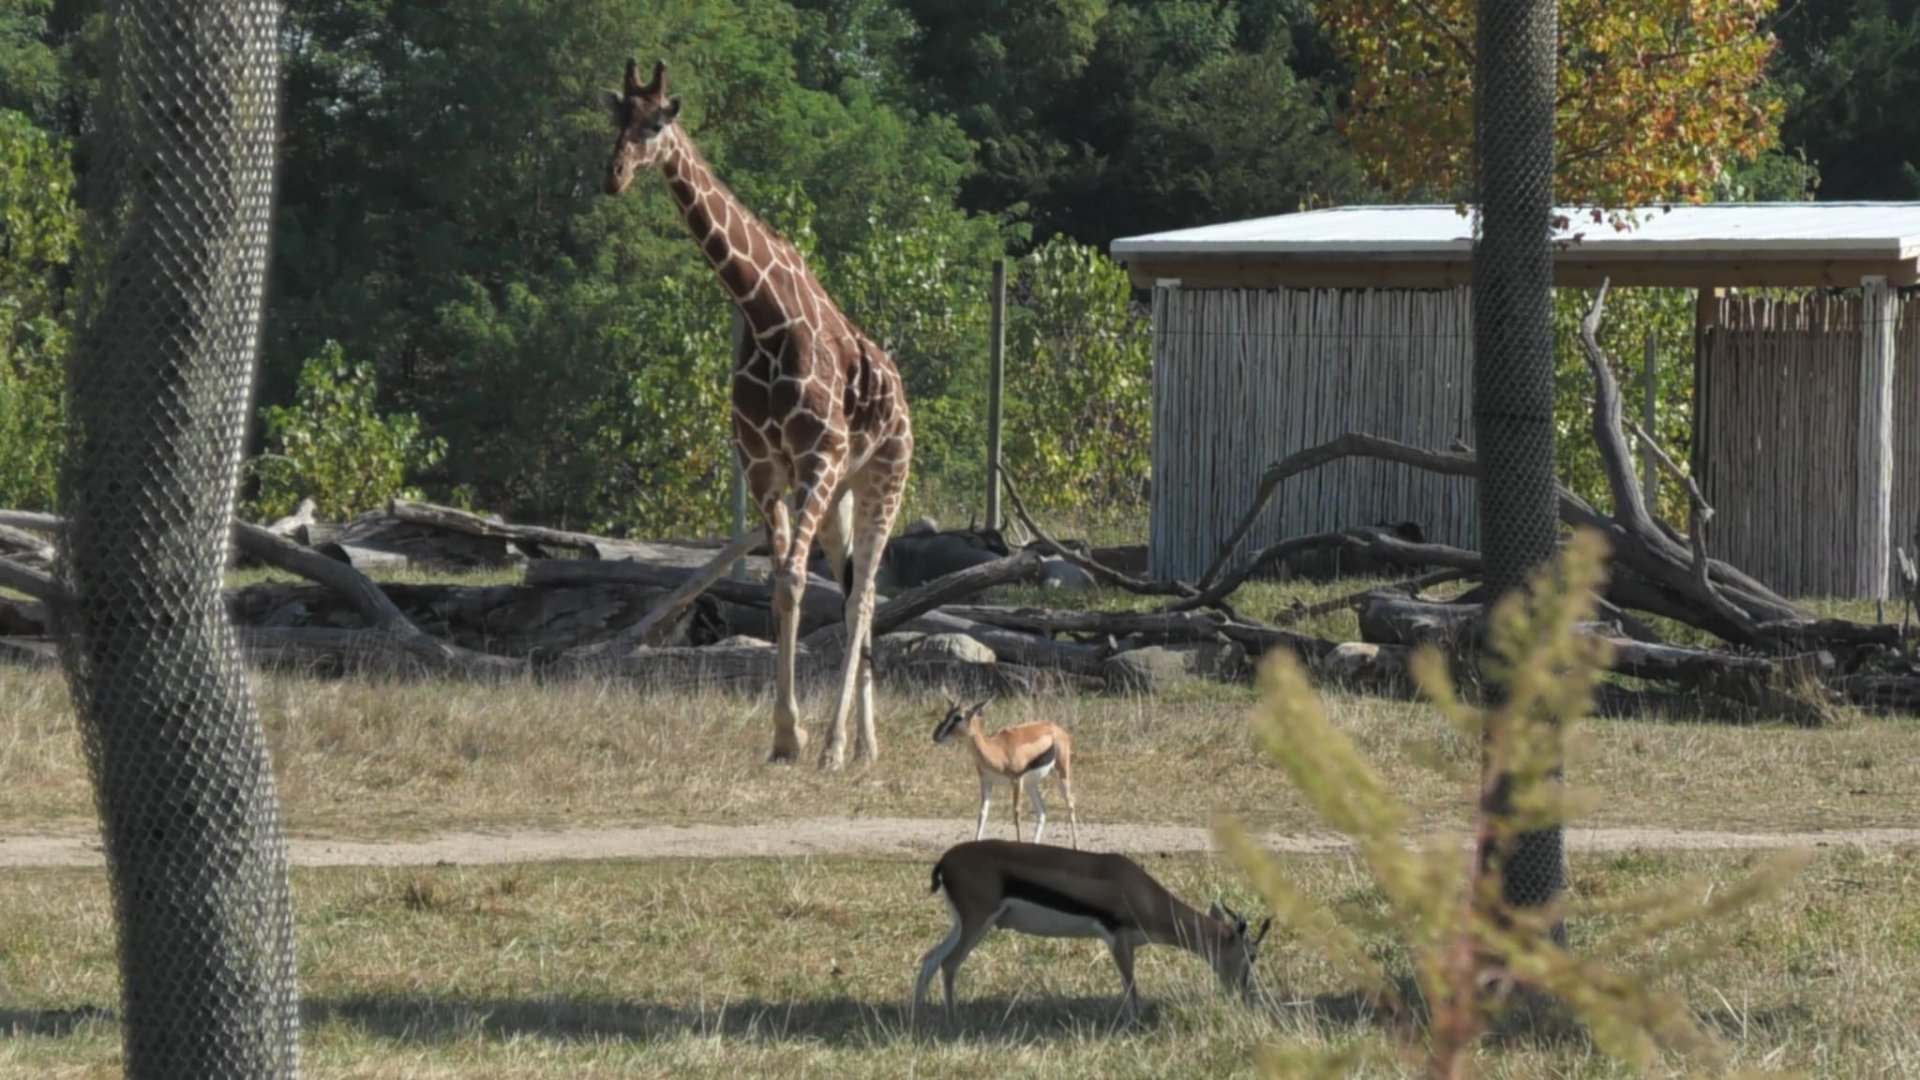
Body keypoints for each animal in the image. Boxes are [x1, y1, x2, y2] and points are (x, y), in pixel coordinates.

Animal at [601, 58, 912, 770]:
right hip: (843, 493)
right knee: (855, 593)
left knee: (864, 595)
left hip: (882, 478)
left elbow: (796, 579)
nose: (615, 175)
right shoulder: (765, 464)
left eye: (656, 124)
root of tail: (904, 400)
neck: (764, 314)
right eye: (616, 120)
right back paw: (866, 744)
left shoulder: (817, 455)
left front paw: (802, 738)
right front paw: (784, 736)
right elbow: (778, 584)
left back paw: (840, 746)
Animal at [913, 839, 1272, 1022]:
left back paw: (919, 1018)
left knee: (929, 959)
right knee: (949, 963)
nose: (1244, 996)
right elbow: (1130, 985)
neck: (1141, 891)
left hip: (962, 924)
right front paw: (1134, 1024)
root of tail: (945, 860)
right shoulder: (1119, 940)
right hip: (977, 922)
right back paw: (953, 1019)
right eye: (1252, 954)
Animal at [933, 697, 1078, 848]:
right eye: (947, 714)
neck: (997, 750)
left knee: (1070, 803)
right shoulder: (986, 781)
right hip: (1030, 784)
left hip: (1060, 773)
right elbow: (982, 813)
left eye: (958, 717)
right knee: (1042, 811)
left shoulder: (1016, 780)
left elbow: (1016, 812)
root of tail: (1058, 729)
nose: (936, 735)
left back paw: (1076, 846)